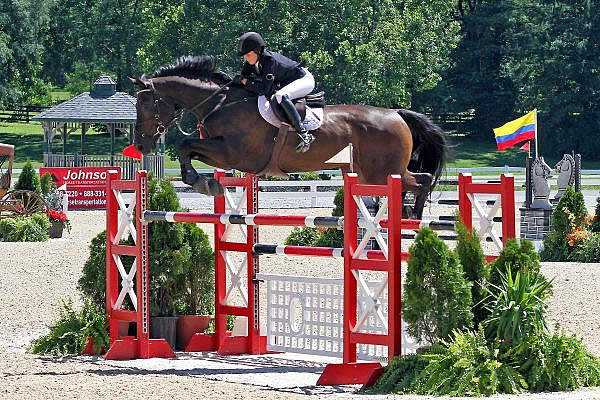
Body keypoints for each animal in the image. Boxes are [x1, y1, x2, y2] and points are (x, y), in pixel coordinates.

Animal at [131, 55, 450, 219]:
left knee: (421, 180)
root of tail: (396, 114)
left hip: (383, 172)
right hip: (371, 173)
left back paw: (414, 218)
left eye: (144, 103)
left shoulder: (235, 153)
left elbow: (185, 144)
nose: (141, 145)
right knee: (418, 180)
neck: (220, 103)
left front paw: (203, 183)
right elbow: (189, 149)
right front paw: (206, 183)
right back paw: (410, 216)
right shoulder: (222, 154)